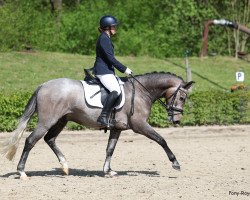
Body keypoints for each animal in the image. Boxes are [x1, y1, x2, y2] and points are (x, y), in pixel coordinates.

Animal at [0, 72, 193, 180]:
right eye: (182, 97)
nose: (177, 120)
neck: (141, 92)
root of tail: (43, 85)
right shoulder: (140, 125)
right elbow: (161, 140)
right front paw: (175, 163)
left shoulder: (117, 128)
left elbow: (110, 149)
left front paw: (108, 171)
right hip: (47, 120)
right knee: (30, 141)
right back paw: (22, 172)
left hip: (61, 120)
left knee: (50, 139)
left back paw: (65, 166)